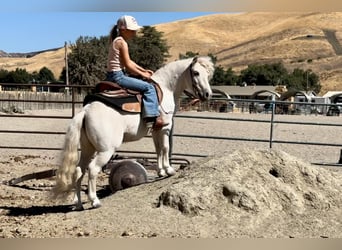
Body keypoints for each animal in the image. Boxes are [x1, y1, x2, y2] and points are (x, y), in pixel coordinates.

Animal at [52, 56, 214, 209]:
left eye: (208, 74)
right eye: (196, 72)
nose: (207, 94)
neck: (166, 87)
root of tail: (86, 110)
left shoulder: (156, 130)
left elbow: (158, 149)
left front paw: (161, 171)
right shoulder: (165, 127)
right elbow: (166, 148)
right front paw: (169, 170)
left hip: (88, 149)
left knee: (79, 171)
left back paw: (78, 203)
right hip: (106, 150)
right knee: (92, 169)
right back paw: (94, 201)